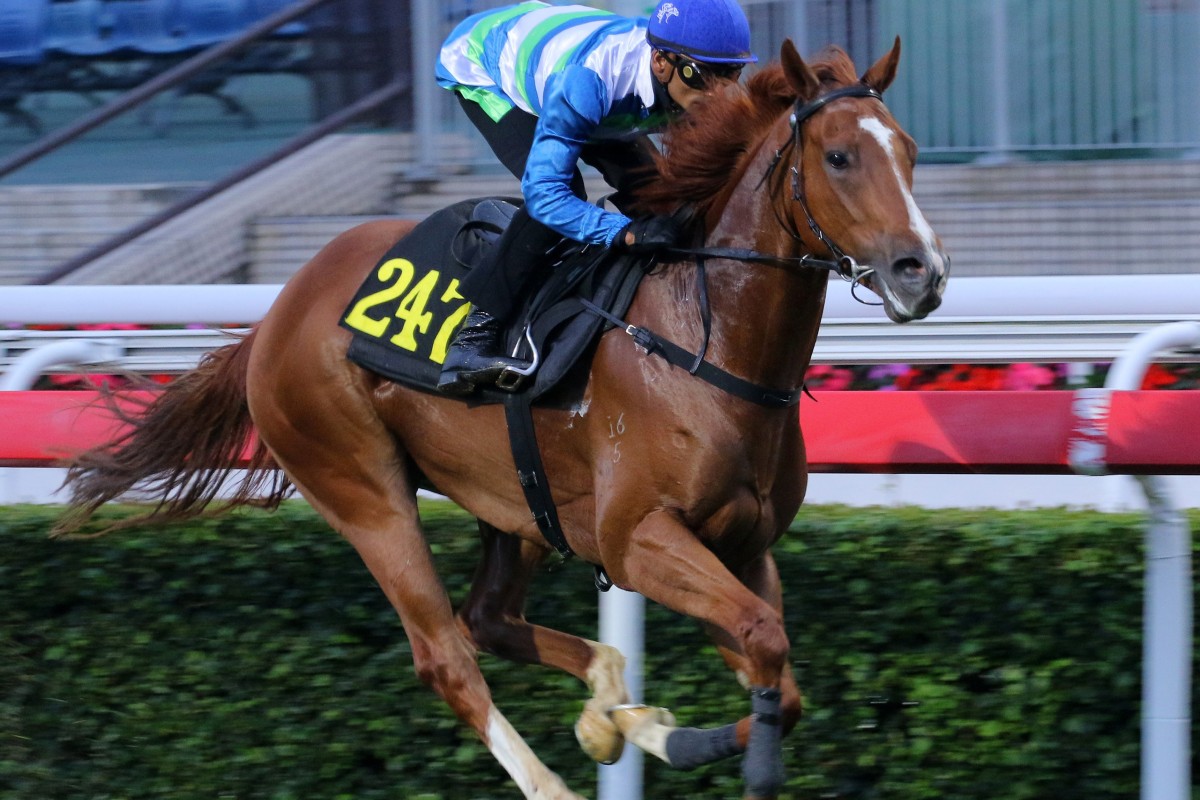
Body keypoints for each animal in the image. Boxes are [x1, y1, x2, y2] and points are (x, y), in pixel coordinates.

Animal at [58, 40, 945, 800]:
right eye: (838, 156)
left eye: (908, 151)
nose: (921, 272)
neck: (705, 343)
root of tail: (277, 315)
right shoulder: (638, 538)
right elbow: (763, 639)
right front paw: (714, 751)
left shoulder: (741, 545)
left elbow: (779, 677)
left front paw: (664, 732)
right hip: (361, 487)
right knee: (445, 653)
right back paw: (554, 775)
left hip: (515, 501)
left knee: (487, 618)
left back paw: (612, 712)